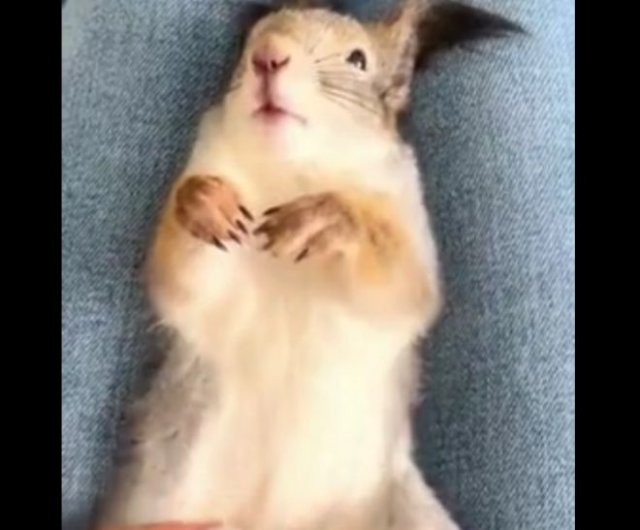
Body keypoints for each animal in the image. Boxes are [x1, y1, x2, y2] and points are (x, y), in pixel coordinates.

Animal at [96, 1, 522, 529]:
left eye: (359, 59)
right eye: (249, 41)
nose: (268, 55)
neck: (291, 172)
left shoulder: (405, 224)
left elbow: (399, 287)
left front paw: (325, 221)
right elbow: (181, 282)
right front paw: (202, 204)